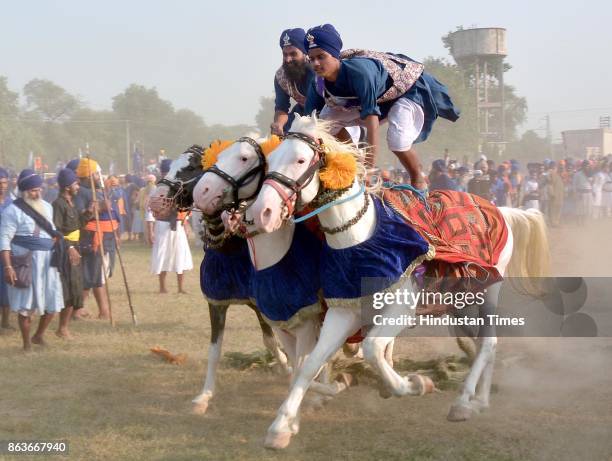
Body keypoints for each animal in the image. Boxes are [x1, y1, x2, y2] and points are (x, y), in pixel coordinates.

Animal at [249, 113, 548, 448]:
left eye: (300, 160)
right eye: (271, 159)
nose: (262, 212)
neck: (358, 238)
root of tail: (500, 209)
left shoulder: (400, 309)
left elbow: (372, 349)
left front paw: (415, 384)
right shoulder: (343, 311)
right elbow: (310, 364)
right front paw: (280, 427)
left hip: (489, 291)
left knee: (488, 342)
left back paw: (464, 402)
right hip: (460, 301)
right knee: (485, 344)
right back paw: (480, 401)